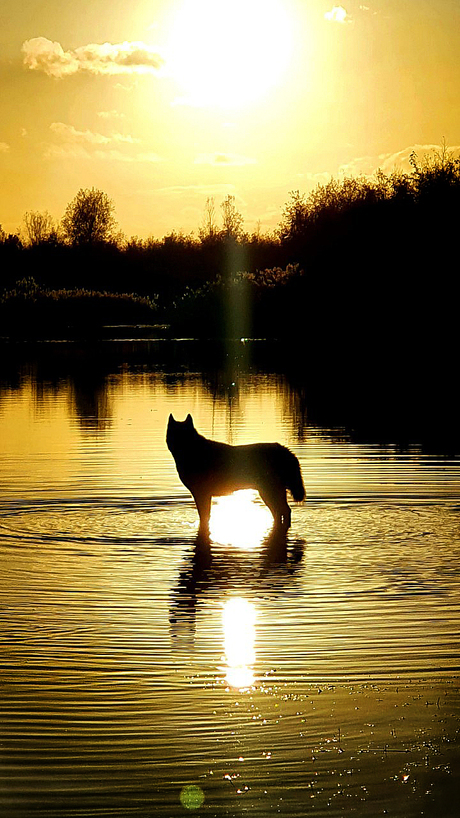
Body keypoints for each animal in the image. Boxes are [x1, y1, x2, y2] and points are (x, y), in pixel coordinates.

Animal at [166, 412, 306, 532]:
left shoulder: (202, 494)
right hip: (270, 493)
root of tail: (286, 451)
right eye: (174, 435)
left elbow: (204, 517)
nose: (178, 445)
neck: (193, 451)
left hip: (269, 493)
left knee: (283, 512)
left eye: (185, 435)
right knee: (282, 512)